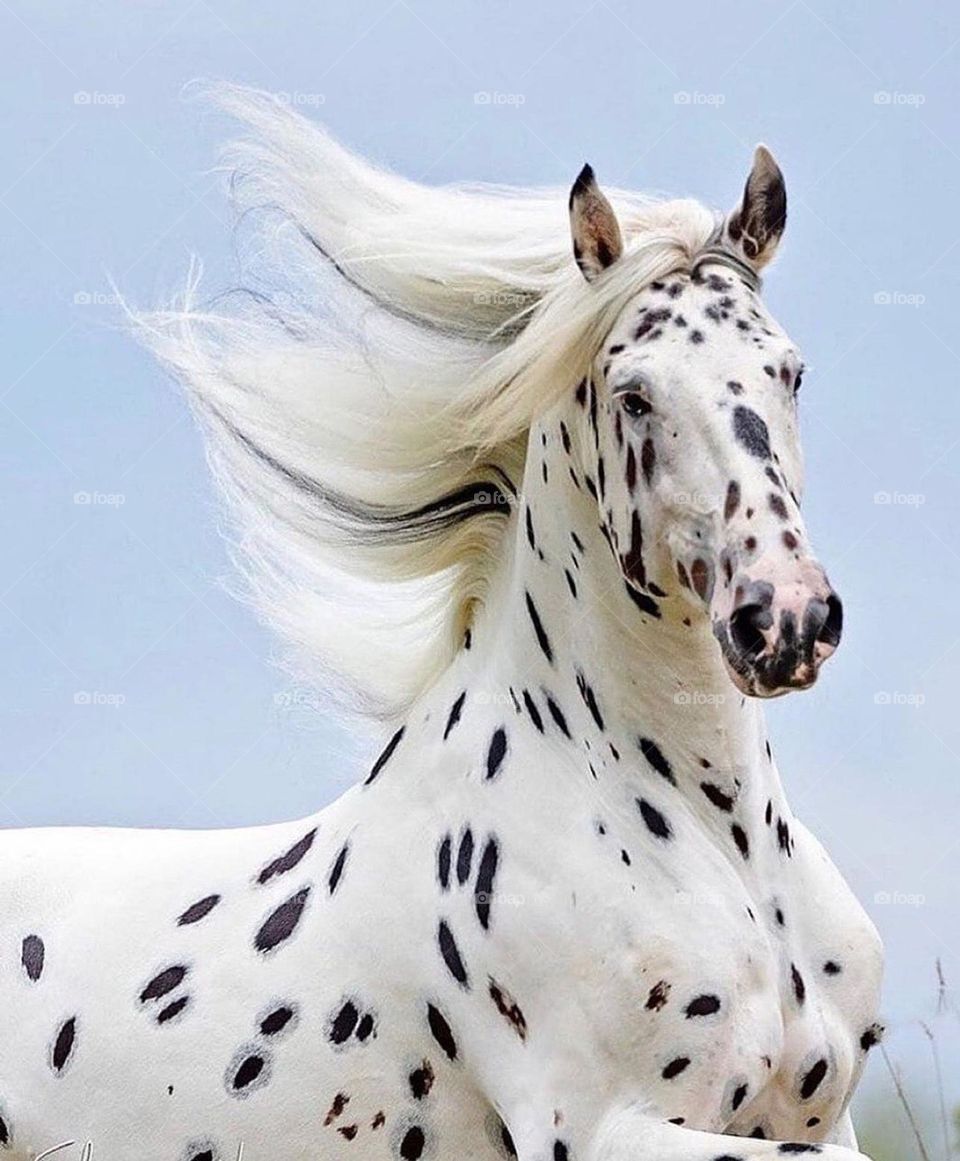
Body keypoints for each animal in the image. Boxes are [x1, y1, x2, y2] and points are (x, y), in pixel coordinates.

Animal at [0, 87, 883, 1161]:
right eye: (634, 394)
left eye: (789, 373)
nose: (786, 618)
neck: (727, 850)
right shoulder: (603, 1124)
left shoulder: (820, 1117)